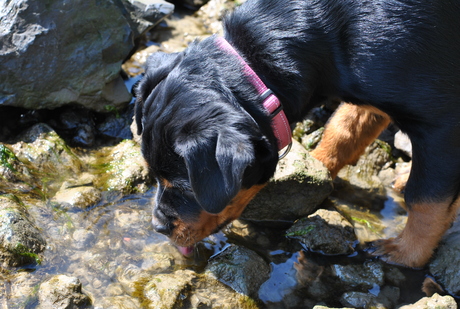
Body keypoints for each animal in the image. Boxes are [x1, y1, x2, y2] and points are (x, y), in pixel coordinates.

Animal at [134, 0, 460, 266]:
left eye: (188, 188)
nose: (158, 227)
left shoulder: (441, 119)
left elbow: (425, 198)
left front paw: (406, 253)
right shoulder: (369, 94)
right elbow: (342, 130)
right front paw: (317, 172)